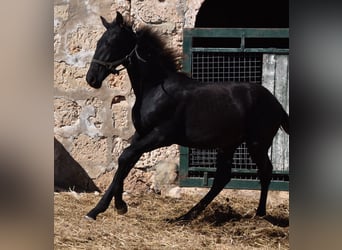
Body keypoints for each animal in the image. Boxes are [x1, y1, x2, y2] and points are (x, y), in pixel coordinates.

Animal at [85, 13, 288, 221]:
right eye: (98, 42)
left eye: (111, 42)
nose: (91, 78)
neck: (155, 89)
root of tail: (277, 103)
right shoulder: (141, 134)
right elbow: (125, 162)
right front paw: (107, 208)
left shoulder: (160, 135)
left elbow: (125, 157)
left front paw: (108, 208)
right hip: (229, 144)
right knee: (222, 178)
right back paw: (187, 215)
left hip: (257, 143)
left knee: (265, 171)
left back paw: (260, 213)